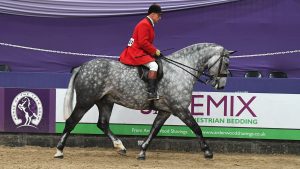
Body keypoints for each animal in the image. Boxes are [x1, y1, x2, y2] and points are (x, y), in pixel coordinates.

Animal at [54, 42, 232, 160]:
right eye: (226, 63)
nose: (221, 85)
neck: (180, 70)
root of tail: (82, 67)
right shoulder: (180, 108)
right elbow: (196, 128)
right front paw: (208, 151)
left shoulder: (165, 111)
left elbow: (154, 130)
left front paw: (142, 151)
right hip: (86, 100)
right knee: (71, 121)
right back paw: (59, 151)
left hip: (105, 102)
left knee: (102, 124)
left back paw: (120, 147)